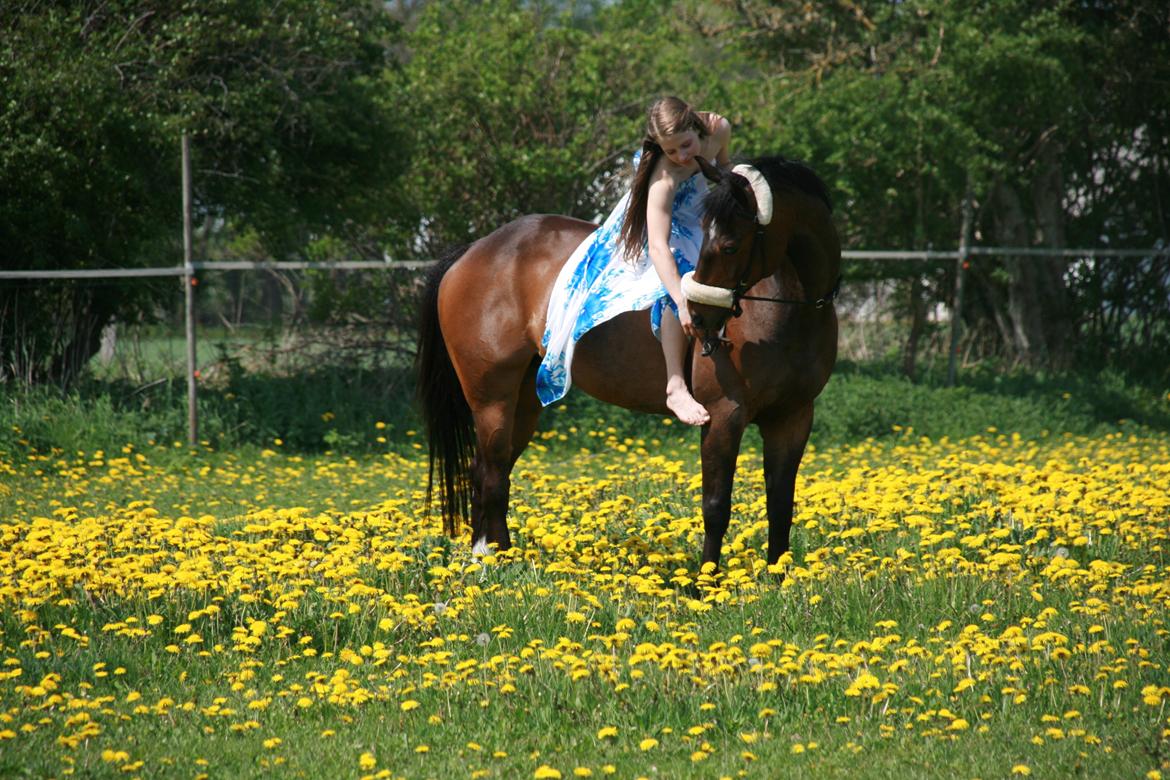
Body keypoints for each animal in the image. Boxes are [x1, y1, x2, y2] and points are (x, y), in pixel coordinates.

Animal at [416, 155, 837, 568]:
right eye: (711, 239)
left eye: (731, 246)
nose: (698, 318)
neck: (790, 309)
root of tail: (474, 250)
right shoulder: (724, 416)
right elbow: (716, 506)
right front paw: (707, 582)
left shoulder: (793, 418)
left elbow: (780, 504)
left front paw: (780, 577)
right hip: (492, 399)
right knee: (490, 474)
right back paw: (489, 560)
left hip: (524, 401)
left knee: (492, 471)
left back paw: (497, 555)